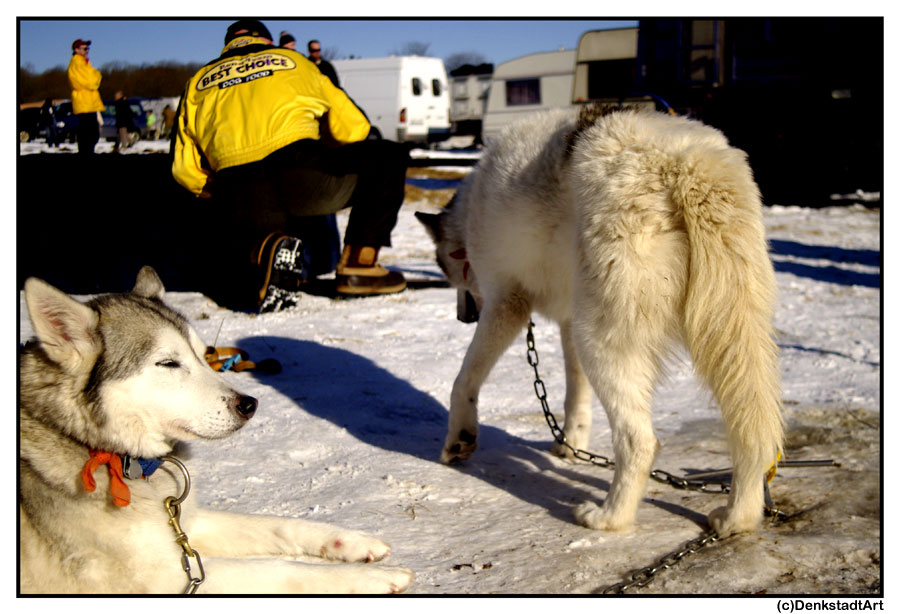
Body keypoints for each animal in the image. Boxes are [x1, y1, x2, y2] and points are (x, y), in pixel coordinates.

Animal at [20, 270, 414, 596]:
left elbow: (276, 525)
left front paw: (346, 541)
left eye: (202, 354)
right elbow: (280, 571)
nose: (250, 404)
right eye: (168, 363)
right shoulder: (160, 579)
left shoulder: (183, 523)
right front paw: (371, 579)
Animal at [418, 106, 784, 540]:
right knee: (751, 435)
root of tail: (684, 162)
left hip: (600, 341)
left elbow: (464, 380)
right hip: (730, 335)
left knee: (639, 441)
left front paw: (459, 439)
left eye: (449, 273)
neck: (471, 207)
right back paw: (738, 517)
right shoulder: (567, 321)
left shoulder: (507, 305)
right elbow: (576, 396)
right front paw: (570, 444)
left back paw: (610, 518)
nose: (462, 316)